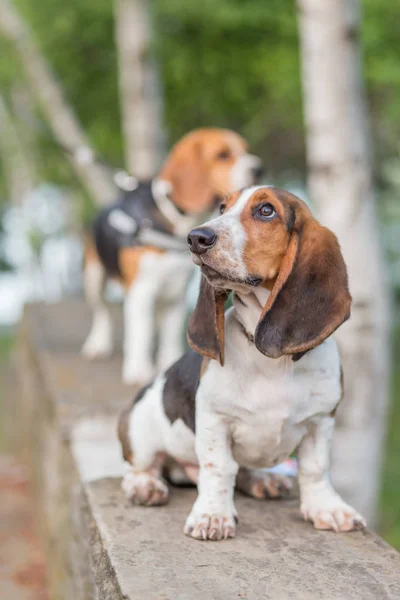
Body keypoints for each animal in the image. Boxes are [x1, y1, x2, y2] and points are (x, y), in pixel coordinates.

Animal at [81, 129, 262, 386]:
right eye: (222, 155)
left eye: (245, 150)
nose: (259, 169)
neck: (176, 219)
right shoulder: (140, 291)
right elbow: (140, 332)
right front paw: (139, 370)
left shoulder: (176, 291)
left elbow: (169, 332)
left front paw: (167, 361)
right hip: (93, 277)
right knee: (101, 312)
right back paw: (98, 342)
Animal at [118, 184, 366, 540]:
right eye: (222, 207)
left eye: (266, 210)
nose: (196, 237)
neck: (271, 362)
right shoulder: (215, 419)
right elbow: (219, 467)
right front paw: (212, 515)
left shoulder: (320, 420)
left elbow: (316, 468)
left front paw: (327, 508)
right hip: (141, 432)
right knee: (136, 466)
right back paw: (144, 486)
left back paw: (264, 480)